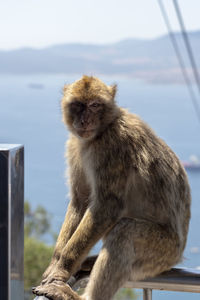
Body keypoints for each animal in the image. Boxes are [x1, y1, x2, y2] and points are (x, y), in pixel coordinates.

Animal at [32, 75, 191, 300]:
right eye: (78, 105)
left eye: (95, 105)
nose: (85, 120)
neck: (101, 131)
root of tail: (178, 254)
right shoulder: (75, 146)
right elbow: (80, 200)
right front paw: (55, 263)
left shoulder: (112, 148)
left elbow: (106, 207)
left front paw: (61, 270)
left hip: (162, 251)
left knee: (125, 231)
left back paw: (81, 296)